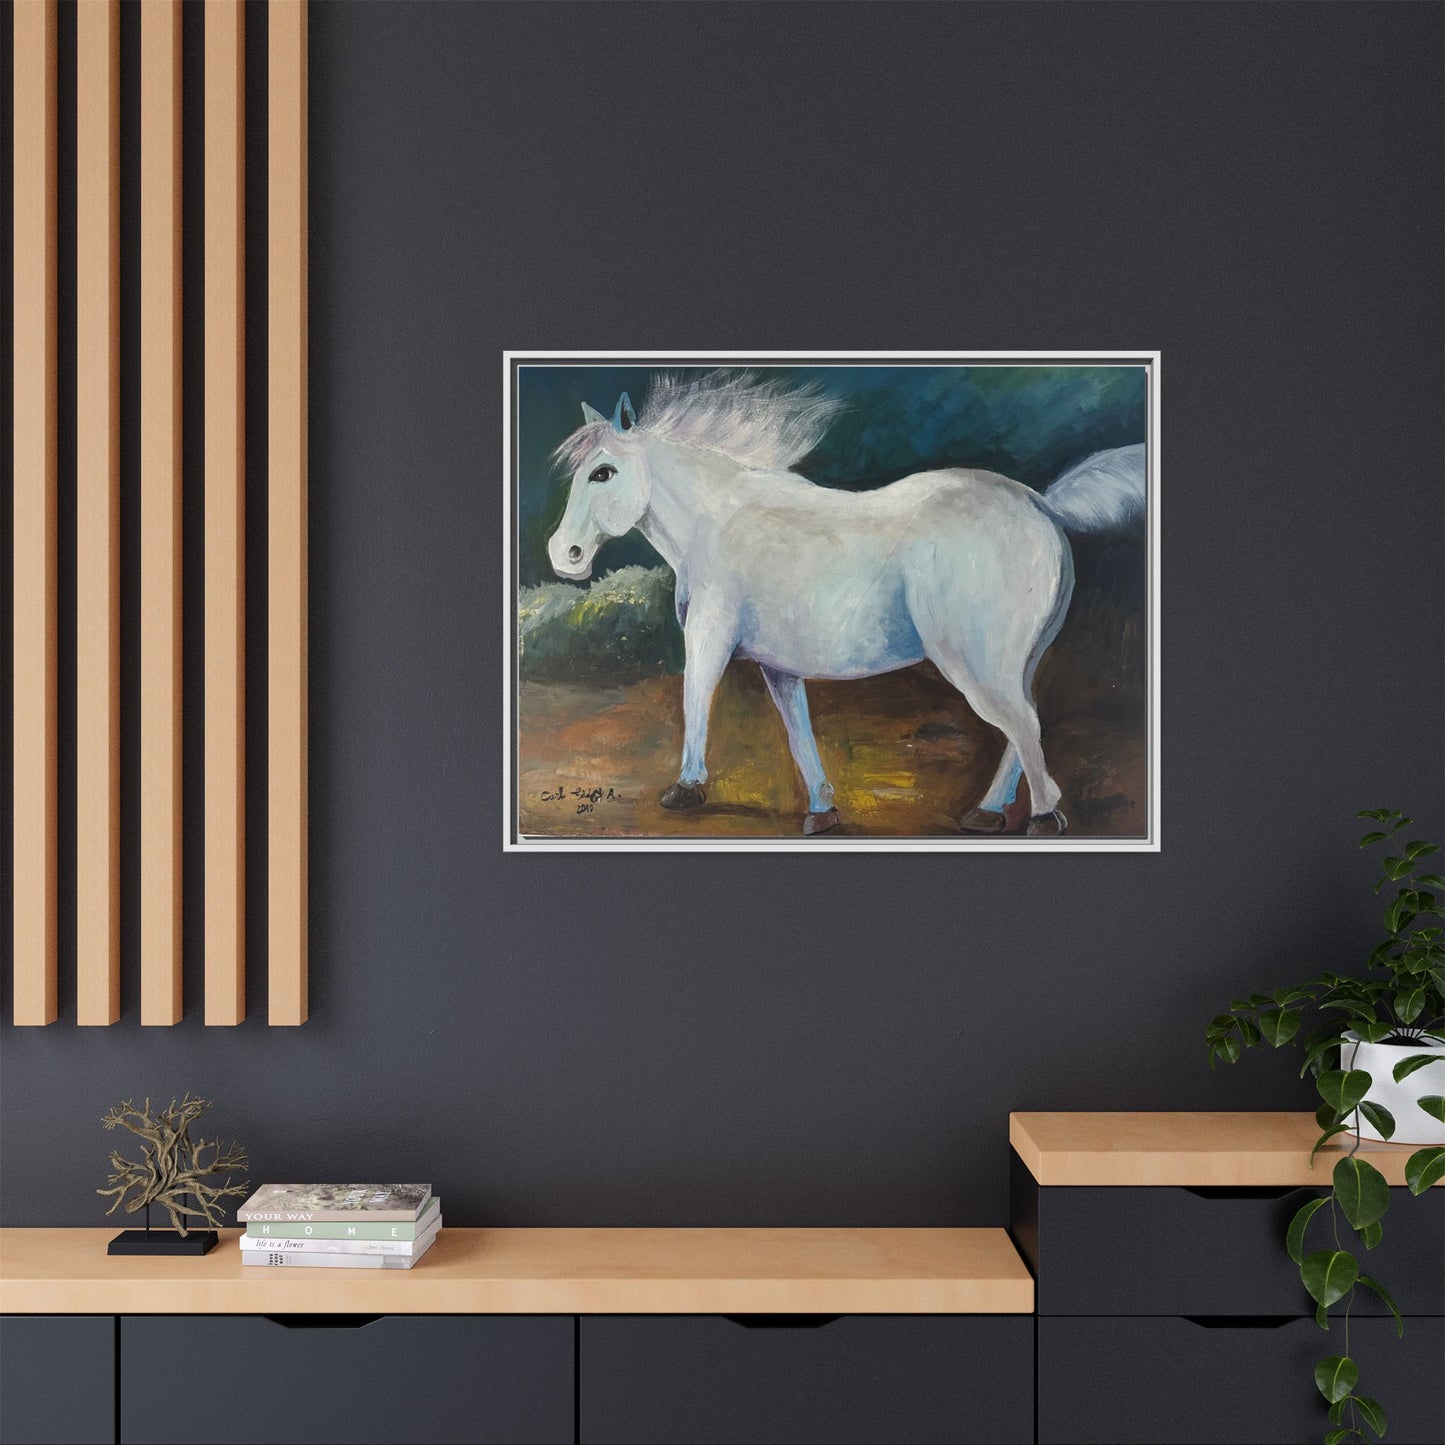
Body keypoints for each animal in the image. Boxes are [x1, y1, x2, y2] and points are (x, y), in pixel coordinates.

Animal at [546, 370, 1145, 837]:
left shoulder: (709, 637)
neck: (717, 522)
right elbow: (798, 732)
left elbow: (696, 697)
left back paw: (1042, 818)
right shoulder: (778, 666)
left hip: (975, 661)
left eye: (603, 472)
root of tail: (1039, 503)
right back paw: (989, 813)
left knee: (1022, 725)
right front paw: (822, 810)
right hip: (1015, 659)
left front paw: (686, 790)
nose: (563, 555)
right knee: (1024, 725)